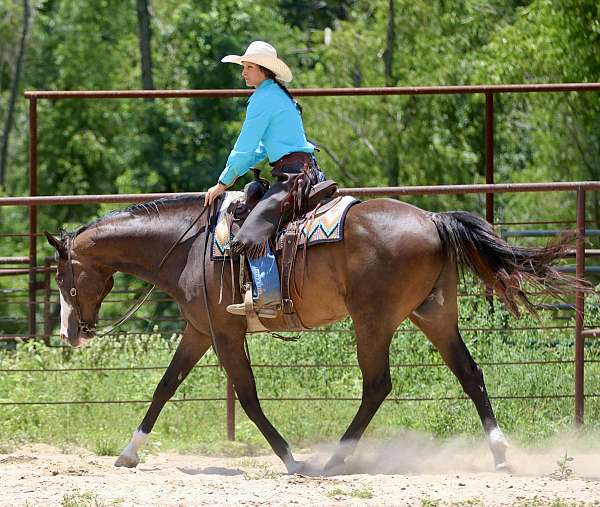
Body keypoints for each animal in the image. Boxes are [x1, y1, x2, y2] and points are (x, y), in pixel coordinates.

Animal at [44, 194, 576, 476]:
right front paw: (128, 453)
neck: (189, 247)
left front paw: (289, 458)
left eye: (63, 277)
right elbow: (164, 387)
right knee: (470, 374)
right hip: (436, 316)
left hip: (373, 321)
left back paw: (335, 458)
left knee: (377, 385)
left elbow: (248, 397)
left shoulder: (226, 334)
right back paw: (500, 455)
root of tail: (432, 219)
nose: (72, 334)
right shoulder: (200, 330)